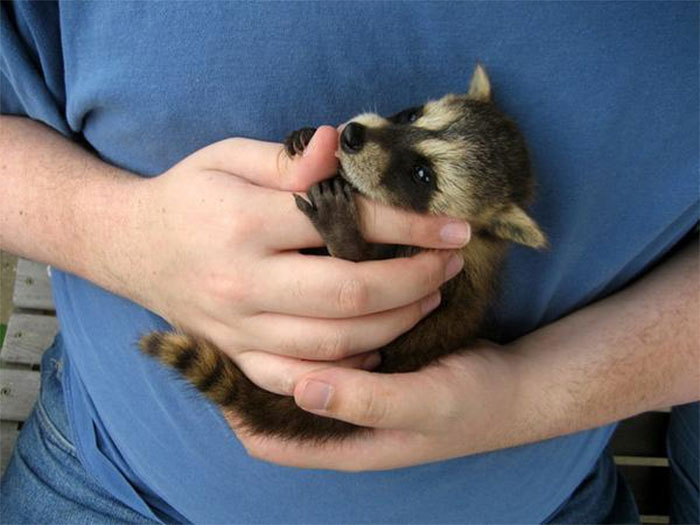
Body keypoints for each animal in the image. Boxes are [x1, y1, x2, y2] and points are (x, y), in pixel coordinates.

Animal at [140, 64, 546, 442]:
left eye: (422, 174)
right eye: (411, 115)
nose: (351, 135)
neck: (481, 239)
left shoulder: (446, 276)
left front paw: (346, 240)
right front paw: (307, 136)